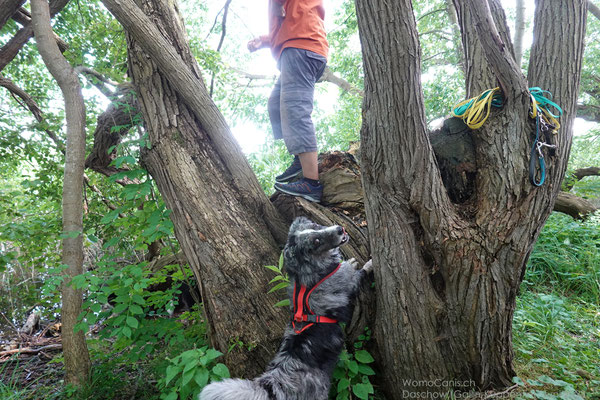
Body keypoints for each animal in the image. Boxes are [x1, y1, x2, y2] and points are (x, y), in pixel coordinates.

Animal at [199, 219, 372, 400]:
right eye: (316, 242)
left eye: (316, 227)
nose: (339, 229)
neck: (312, 272)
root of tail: (274, 381)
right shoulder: (350, 284)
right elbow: (361, 272)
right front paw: (369, 263)